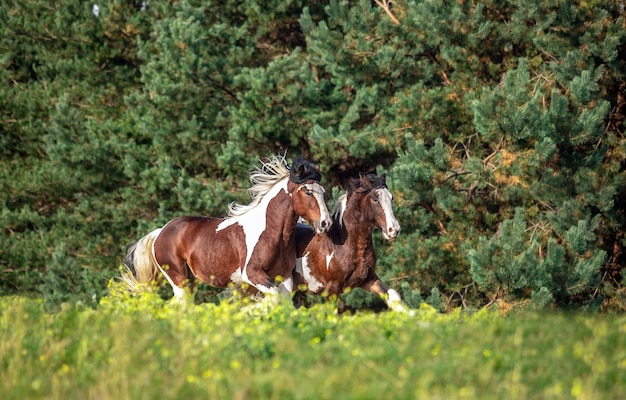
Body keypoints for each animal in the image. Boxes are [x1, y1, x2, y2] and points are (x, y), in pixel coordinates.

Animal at [121, 156, 332, 304]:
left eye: (322, 191)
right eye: (307, 192)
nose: (326, 223)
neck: (271, 233)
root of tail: (160, 232)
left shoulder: (284, 277)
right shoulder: (252, 275)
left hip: (189, 281)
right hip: (179, 280)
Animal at [294, 174, 410, 312]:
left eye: (391, 198)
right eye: (375, 199)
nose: (394, 230)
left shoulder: (369, 279)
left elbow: (392, 296)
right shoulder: (332, 290)